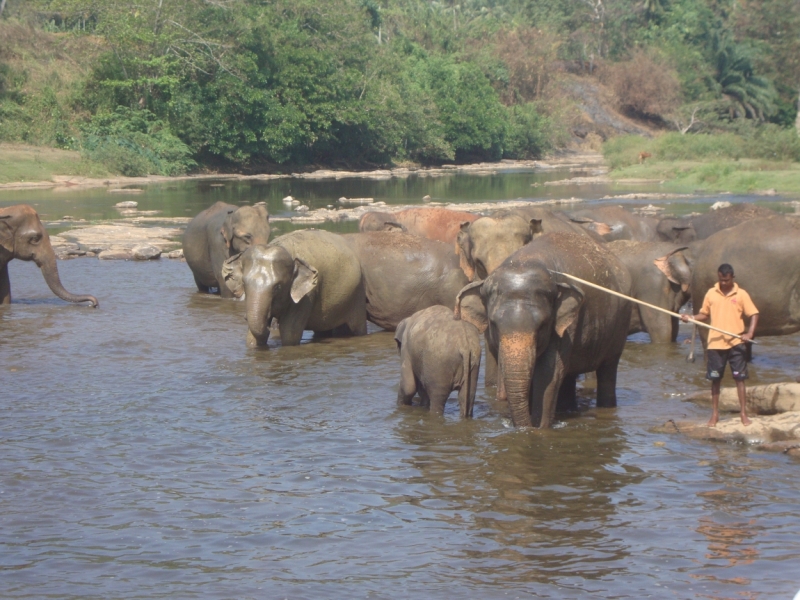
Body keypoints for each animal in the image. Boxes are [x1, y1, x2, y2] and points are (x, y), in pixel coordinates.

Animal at [222, 229, 366, 346]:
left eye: (278, 287)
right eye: (244, 283)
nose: (269, 327)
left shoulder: (307, 295)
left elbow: (289, 332)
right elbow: (251, 337)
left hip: (357, 296)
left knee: (358, 328)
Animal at [456, 232, 632, 428]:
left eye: (542, 325)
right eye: (494, 324)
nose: (523, 426)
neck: (527, 260)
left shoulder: (565, 326)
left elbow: (549, 372)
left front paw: (539, 428)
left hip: (619, 326)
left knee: (608, 370)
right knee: (569, 376)